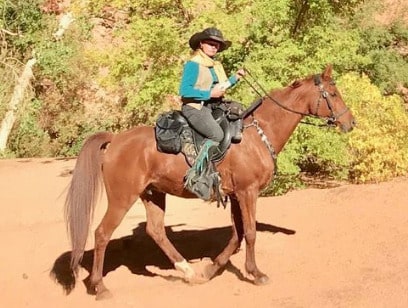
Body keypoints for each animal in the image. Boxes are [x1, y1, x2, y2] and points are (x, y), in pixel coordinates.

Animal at [65, 64, 356, 298]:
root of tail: (115, 140)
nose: (350, 123)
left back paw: (187, 271)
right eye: (332, 94)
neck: (258, 134)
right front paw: (256, 273)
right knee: (102, 234)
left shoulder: (237, 194)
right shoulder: (248, 192)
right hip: (122, 198)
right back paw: (100, 287)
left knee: (156, 231)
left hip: (152, 194)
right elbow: (250, 233)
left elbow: (238, 235)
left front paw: (210, 269)